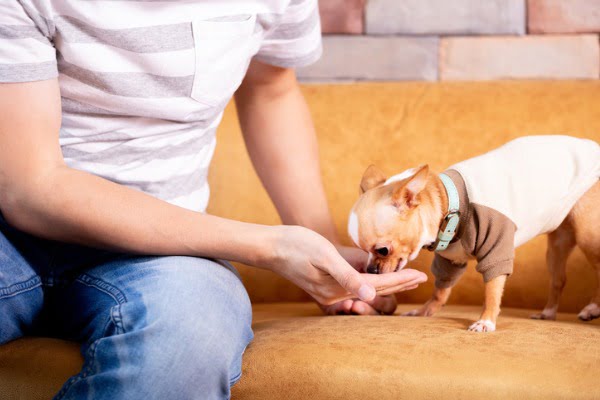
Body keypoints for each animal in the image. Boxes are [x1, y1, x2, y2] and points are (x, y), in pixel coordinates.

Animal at [346, 136, 600, 332]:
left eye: (383, 250)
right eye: (364, 252)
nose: (371, 270)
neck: (451, 203)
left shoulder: (497, 250)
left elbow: (492, 291)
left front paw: (486, 321)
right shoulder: (451, 259)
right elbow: (441, 290)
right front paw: (425, 311)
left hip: (588, 236)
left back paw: (591, 309)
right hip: (558, 244)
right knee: (558, 279)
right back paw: (548, 313)